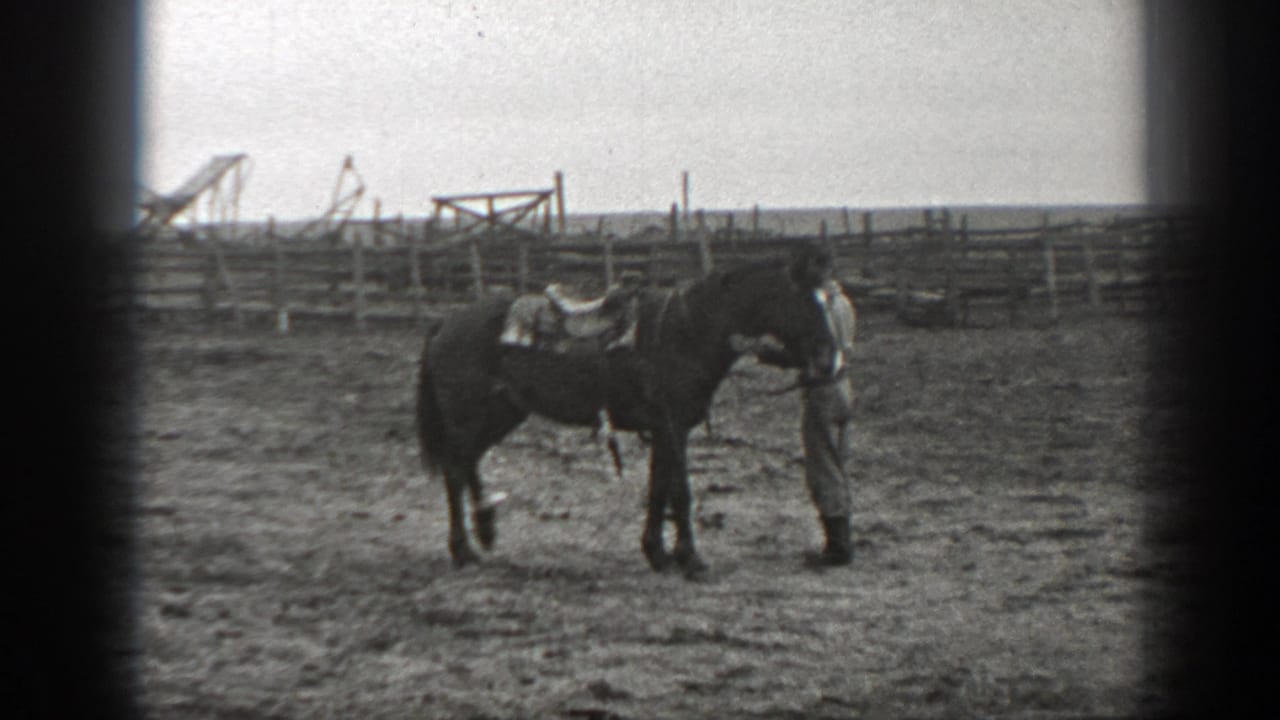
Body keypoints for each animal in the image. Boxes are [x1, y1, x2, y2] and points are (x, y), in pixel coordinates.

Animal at [415, 245, 839, 579]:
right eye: (804, 301)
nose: (829, 360)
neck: (685, 332)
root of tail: (446, 321)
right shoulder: (672, 427)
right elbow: (680, 493)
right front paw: (691, 559)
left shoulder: (665, 430)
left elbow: (658, 490)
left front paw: (658, 554)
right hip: (468, 416)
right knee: (455, 470)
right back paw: (464, 549)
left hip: (502, 413)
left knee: (469, 463)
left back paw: (485, 530)